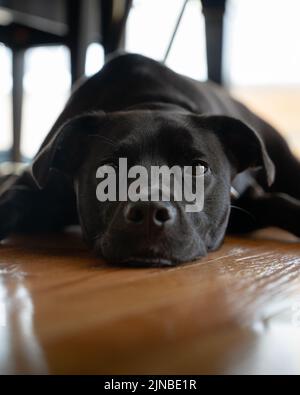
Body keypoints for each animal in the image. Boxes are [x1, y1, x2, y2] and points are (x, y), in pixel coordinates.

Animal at [0, 53, 300, 266]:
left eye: (198, 168)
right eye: (107, 169)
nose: (148, 212)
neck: (151, 101)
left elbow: (280, 203)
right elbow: (13, 199)